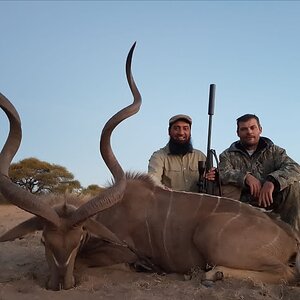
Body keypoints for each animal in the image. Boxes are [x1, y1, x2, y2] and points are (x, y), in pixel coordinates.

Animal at [0, 43, 300, 290]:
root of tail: (289, 237)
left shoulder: (121, 250)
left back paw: (211, 274)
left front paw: (138, 267)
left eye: (77, 241)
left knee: (286, 273)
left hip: (211, 236)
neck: (113, 213)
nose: (61, 285)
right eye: (44, 241)